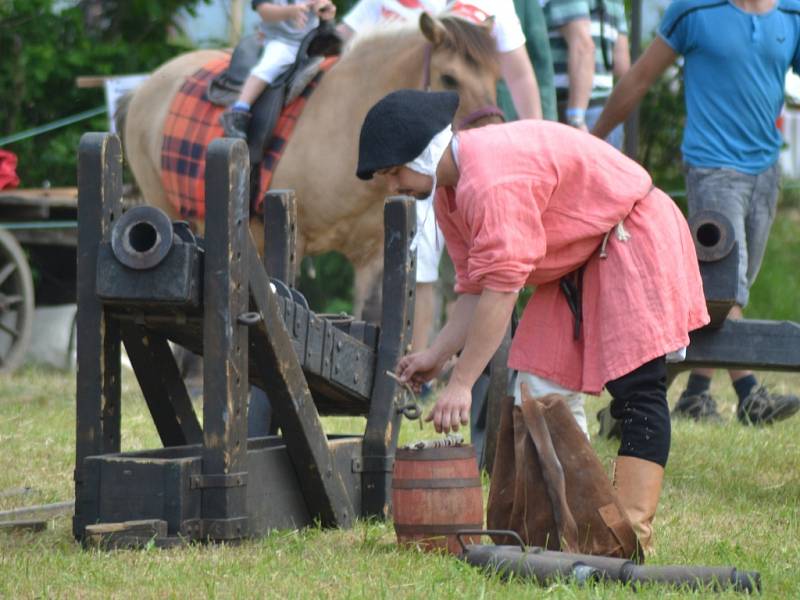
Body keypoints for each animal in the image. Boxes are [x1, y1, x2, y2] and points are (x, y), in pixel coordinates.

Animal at [120, 11, 500, 316]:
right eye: (449, 78)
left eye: (496, 76)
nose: (490, 135)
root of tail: (144, 87)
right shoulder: (295, 240)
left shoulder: (373, 257)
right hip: (168, 209)